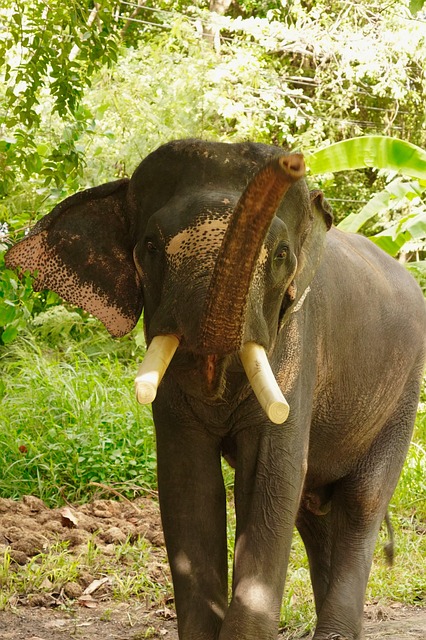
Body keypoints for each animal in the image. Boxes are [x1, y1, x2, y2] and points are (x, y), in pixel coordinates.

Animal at [5, 139, 426, 640]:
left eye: (281, 255)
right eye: (150, 247)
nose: (291, 160)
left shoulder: (298, 344)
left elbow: (271, 477)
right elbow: (189, 481)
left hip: (405, 394)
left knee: (360, 502)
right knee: (312, 510)